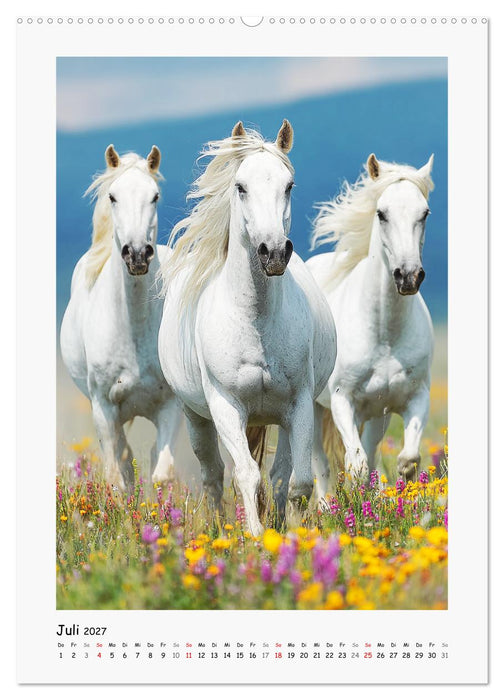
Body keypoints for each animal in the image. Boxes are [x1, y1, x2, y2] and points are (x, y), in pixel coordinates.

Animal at [60, 145, 182, 490]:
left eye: (155, 196)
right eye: (113, 196)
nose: (137, 254)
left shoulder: (170, 406)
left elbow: (163, 473)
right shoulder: (104, 408)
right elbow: (116, 476)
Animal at [155, 121, 336, 535]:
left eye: (289, 185)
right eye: (240, 186)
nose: (274, 252)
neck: (255, 320)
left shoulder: (298, 404)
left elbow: (296, 480)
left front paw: (290, 535)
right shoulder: (226, 406)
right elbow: (246, 476)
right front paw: (253, 538)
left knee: (280, 473)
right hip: (196, 417)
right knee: (213, 474)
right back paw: (221, 528)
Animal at [306, 153, 435, 489]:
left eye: (424, 213)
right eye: (381, 213)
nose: (408, 276)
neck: (385, 334)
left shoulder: (415, 397)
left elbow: (407, 460)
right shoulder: (342, 401)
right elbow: (356, 466)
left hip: (377, 415)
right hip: (313, 406)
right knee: (319, 463)